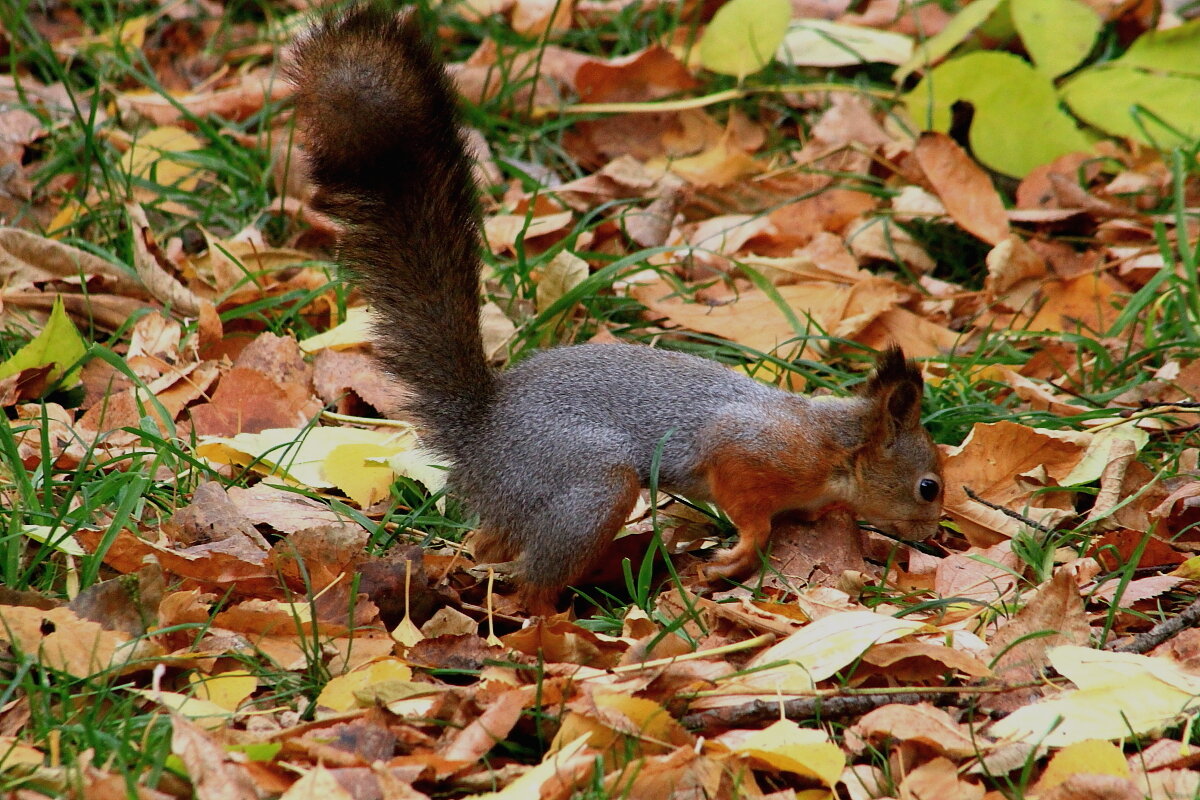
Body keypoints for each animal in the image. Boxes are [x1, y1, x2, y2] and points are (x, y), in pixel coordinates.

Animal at [285, 6, 940, 614]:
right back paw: (556, 623)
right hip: (589, 486)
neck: (835, 445)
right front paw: (741, 552)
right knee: (534, 577)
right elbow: (746, 501)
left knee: (493, 545)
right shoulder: (754, 451)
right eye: (929, 486)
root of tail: (481, 437)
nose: (935, 540)